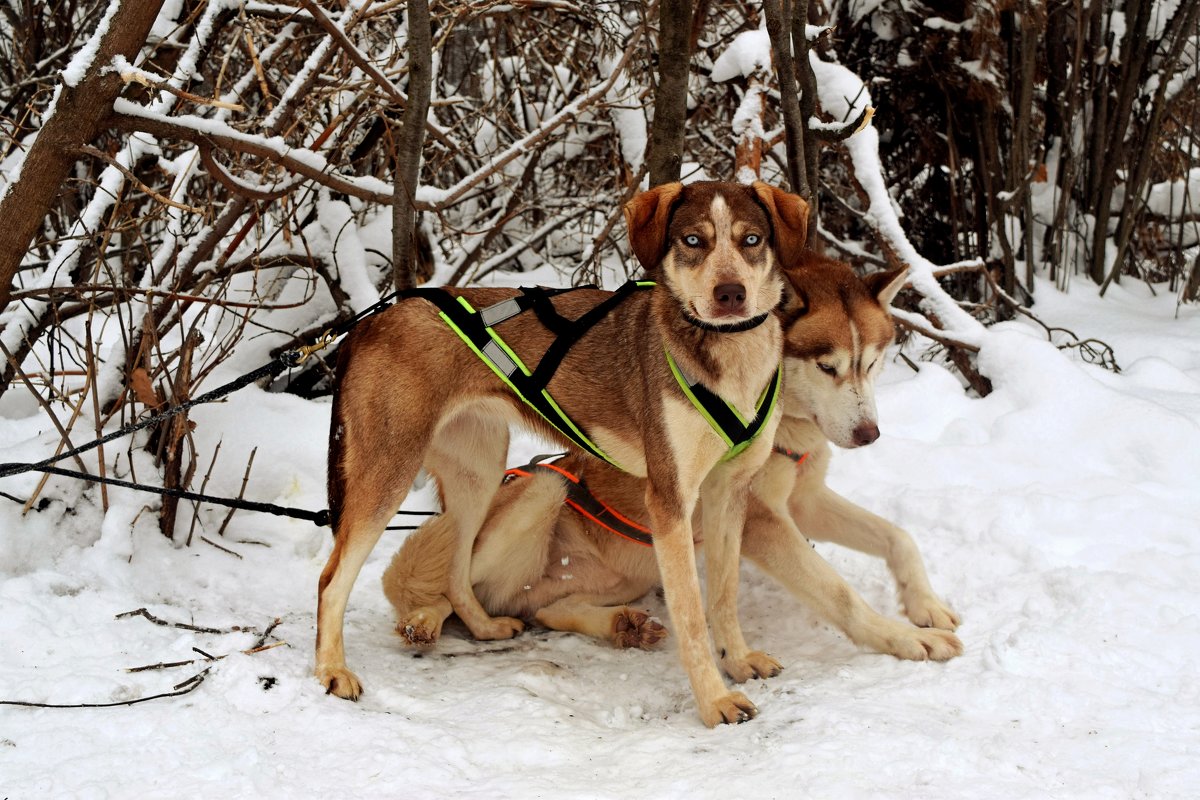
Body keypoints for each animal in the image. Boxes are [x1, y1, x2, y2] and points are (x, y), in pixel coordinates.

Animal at [319, 179, 806, 724]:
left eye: (751, 239)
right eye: (693, 240)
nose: (730, 294)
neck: (728, 358)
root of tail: (367, 324)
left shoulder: (728, 493)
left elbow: (723, 596)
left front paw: (738, 660)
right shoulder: (670, 501)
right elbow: (692, 615)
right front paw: (715, 700)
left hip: (480, 472)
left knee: (457, 570)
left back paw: (485, 627)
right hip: (391, 472)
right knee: (332, 580)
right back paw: (334, 670)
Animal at [384, 255, 964, 681]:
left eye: (872, 362)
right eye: (828, 366)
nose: (869, 434)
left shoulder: (804, 500)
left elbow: (898, 537)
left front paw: (925, 605)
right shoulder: (763, 519)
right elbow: (841, 594)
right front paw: (907, 638)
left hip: (627, 571)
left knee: (545, 609)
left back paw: (623, 627)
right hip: (542, 490)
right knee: (436, 585)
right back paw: (422, 620)